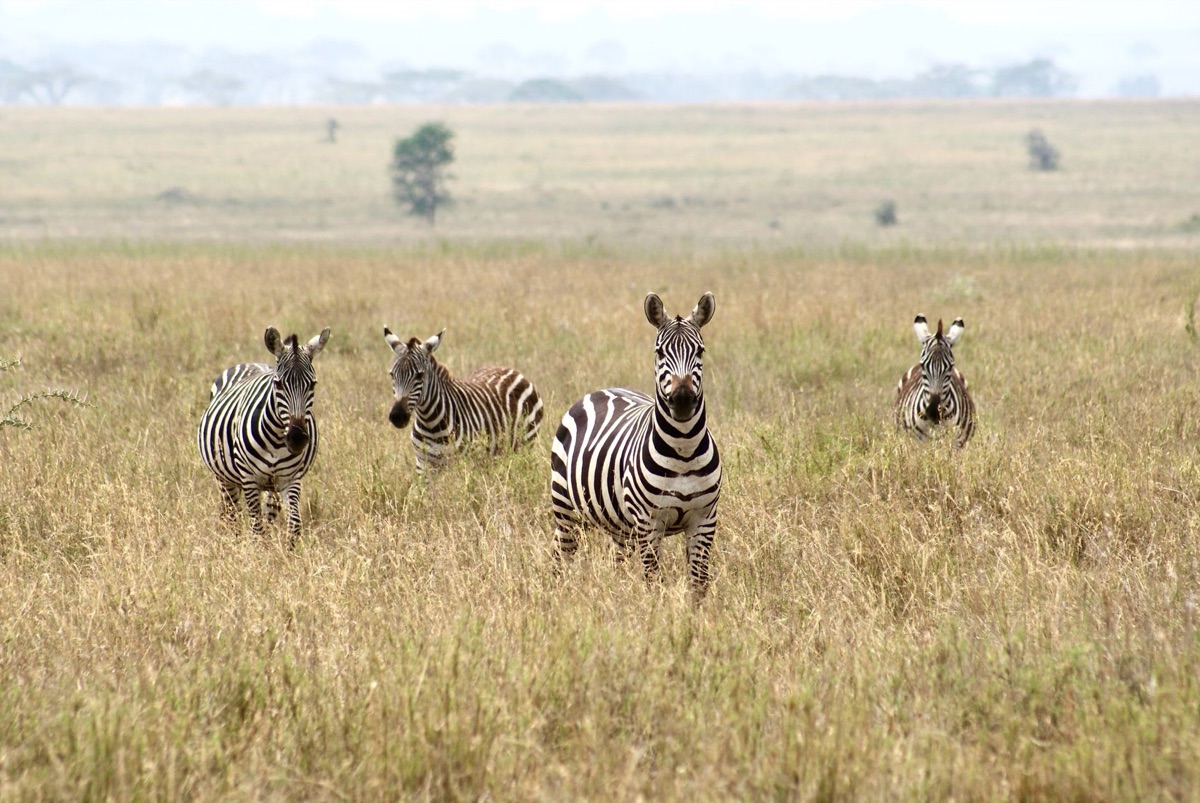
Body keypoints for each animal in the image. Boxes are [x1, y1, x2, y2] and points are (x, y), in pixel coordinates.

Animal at [197, 326, 330, 546]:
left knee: (268, 514)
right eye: (278, 384)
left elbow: (294, 526)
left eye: (313, 384)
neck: (276, 438)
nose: (297, 439)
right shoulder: (249, 478)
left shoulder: (291, 479)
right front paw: (256, 553)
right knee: (232, 514)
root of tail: (250, 363)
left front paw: (286, 553)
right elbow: (256, 528)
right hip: (224, 477)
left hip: (270, 485)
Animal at [383, 327, 544, 473]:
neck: (431, 423)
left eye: (419, 376)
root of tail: (513, 370)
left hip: (524, 445)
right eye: (392, 375)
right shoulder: (423, 464)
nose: (397, 417)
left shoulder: (464, 464)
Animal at [549, 292, 722, 599]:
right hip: (566, 510)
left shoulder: (704, 520)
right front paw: (656, 610)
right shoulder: (648, 523)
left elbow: (699, 582)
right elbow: (654, 580)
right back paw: (556, 596)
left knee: (616, 563)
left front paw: (699, 612)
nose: (682, 400)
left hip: (619, 526)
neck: (684, 450)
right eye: (660, 352)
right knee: (561, 555)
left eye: (700, 351)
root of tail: (603, 390)